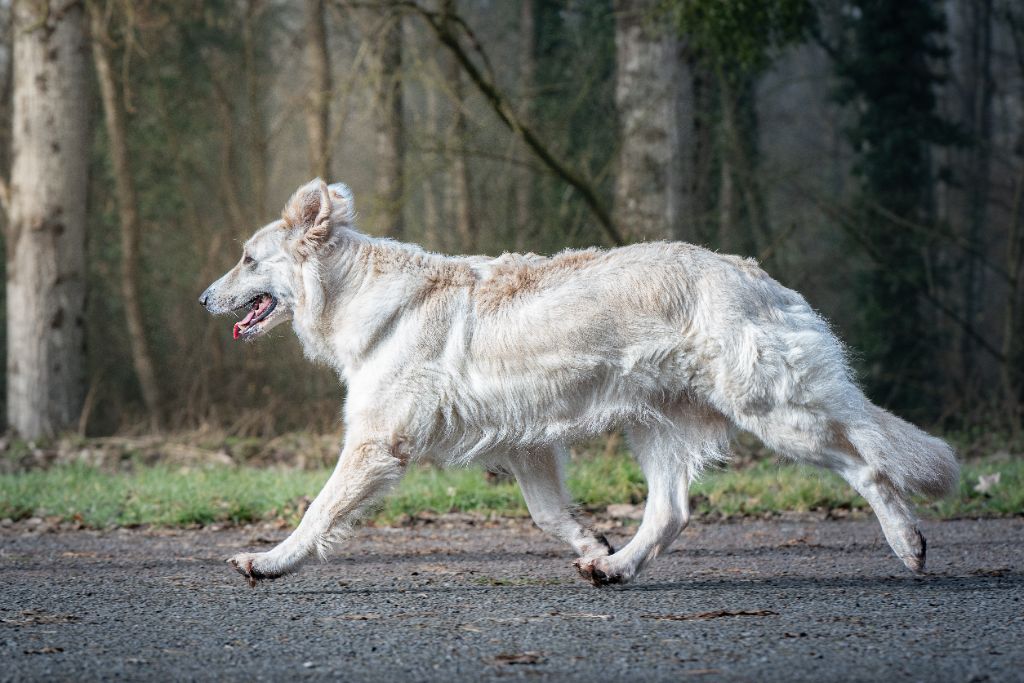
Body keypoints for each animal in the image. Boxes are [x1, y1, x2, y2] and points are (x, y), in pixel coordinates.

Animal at [197, 178, 958, 589]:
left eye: (247, 259)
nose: (203, 298)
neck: (363, 297)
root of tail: (757, 274)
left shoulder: (376, 443)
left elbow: (317, 512)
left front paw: (270, 560)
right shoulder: (525, 442)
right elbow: (550, 514)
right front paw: (593, 546)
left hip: (776, 413)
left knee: (866, 463)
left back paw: (907, 543)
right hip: (657, 427)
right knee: (670, 513)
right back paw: (617, 567)